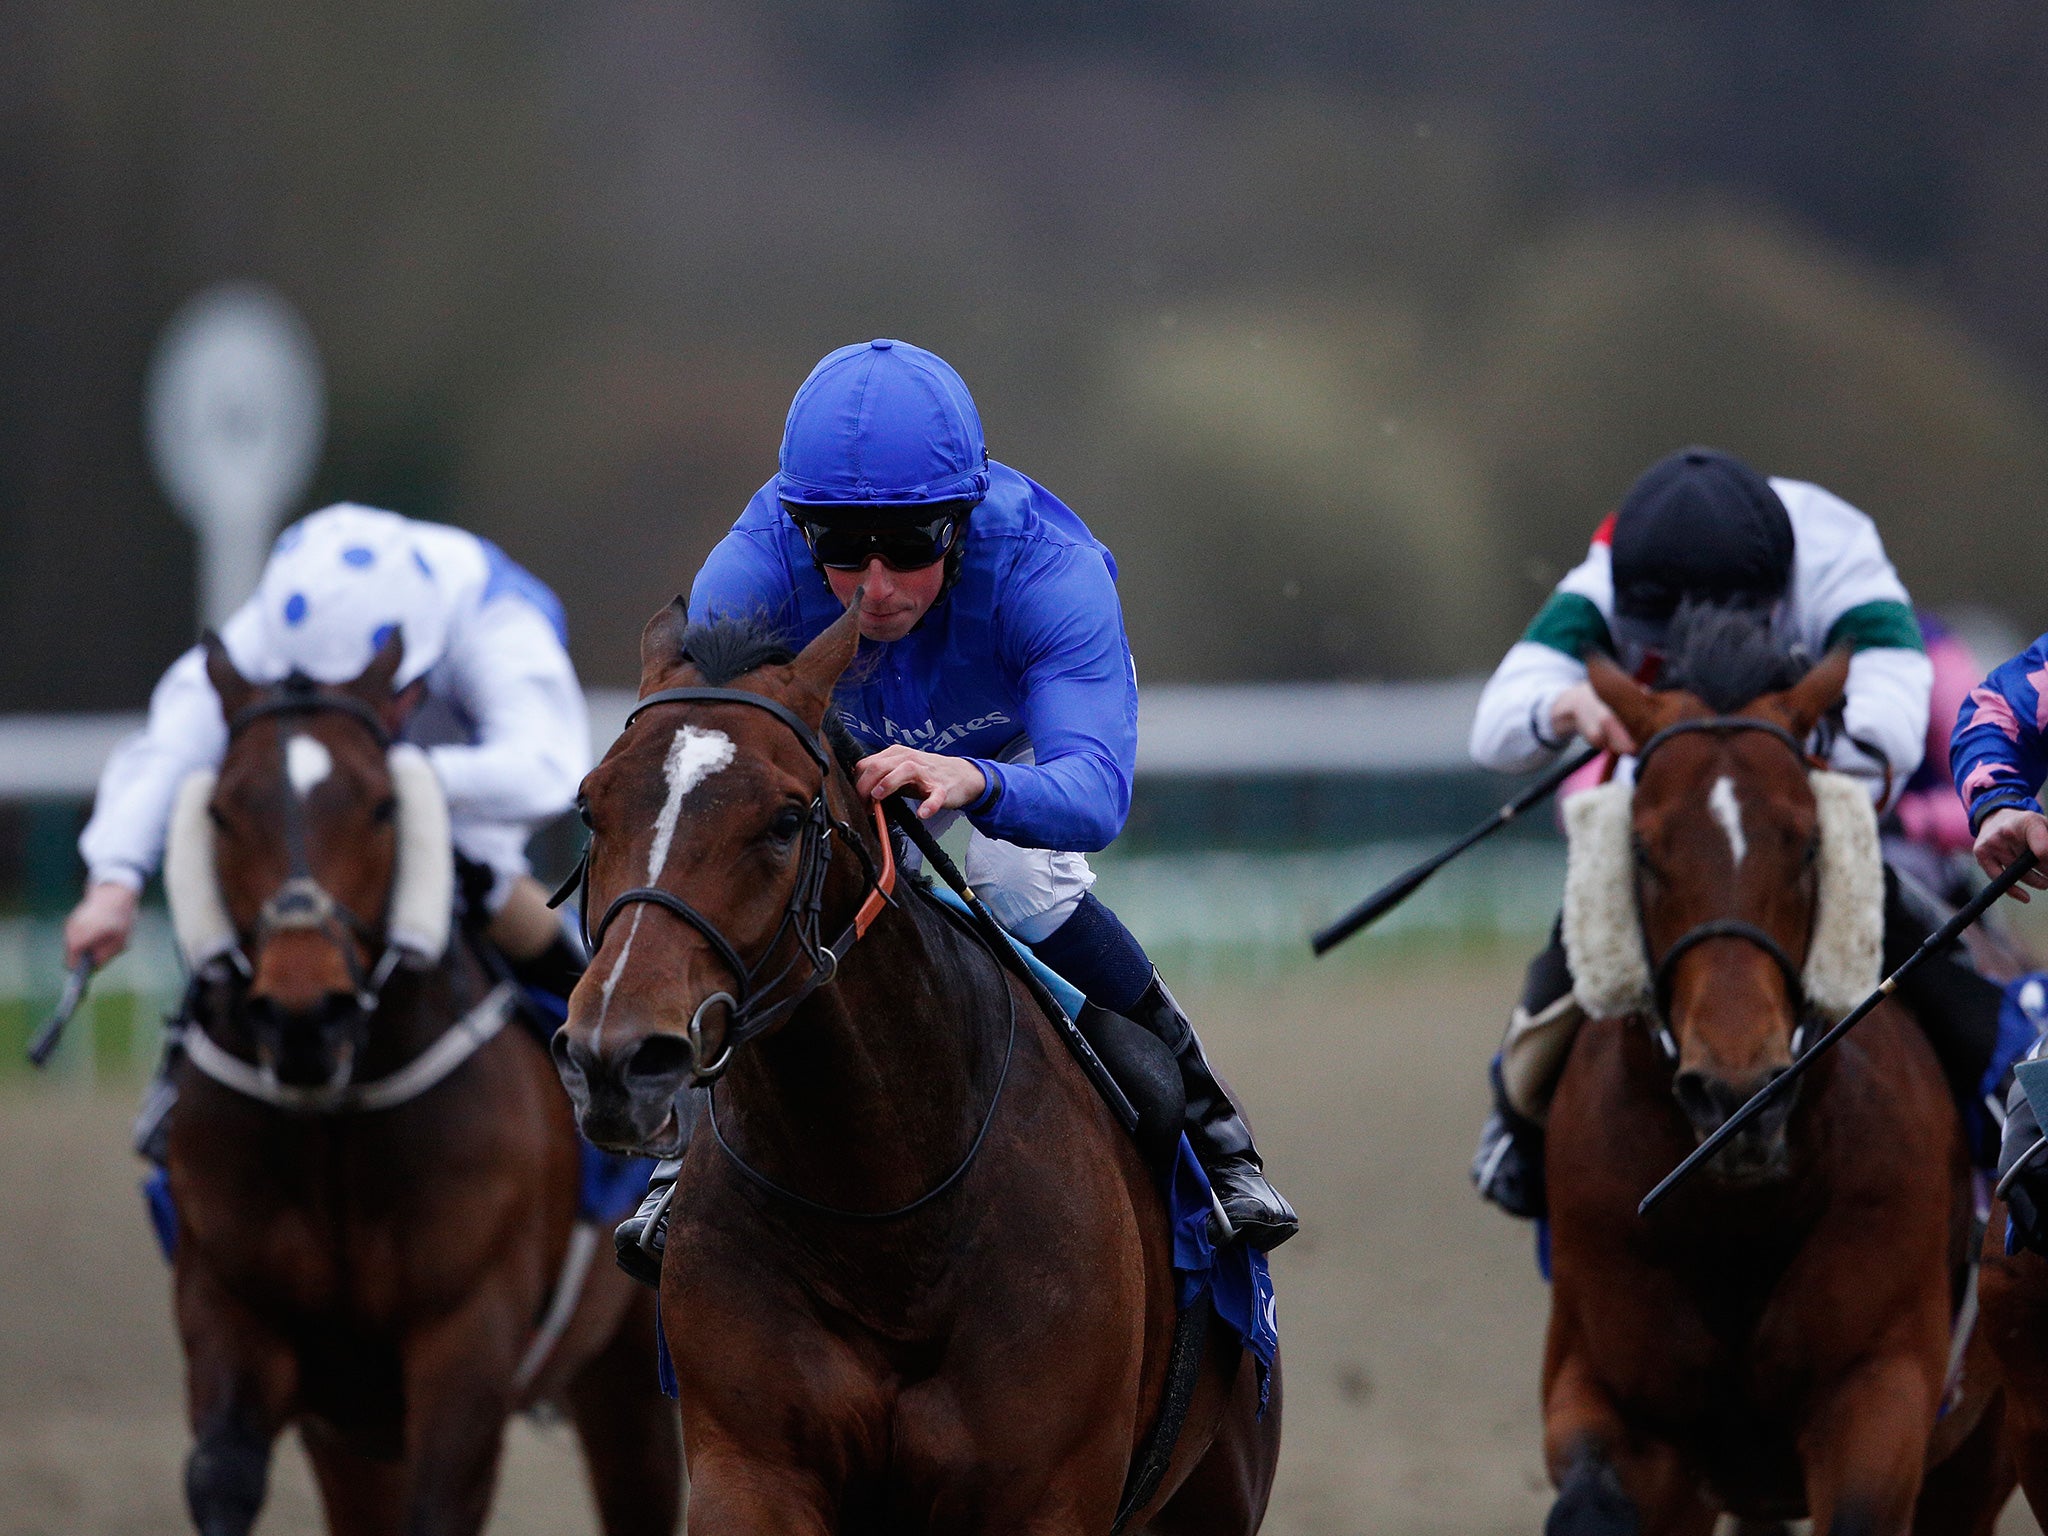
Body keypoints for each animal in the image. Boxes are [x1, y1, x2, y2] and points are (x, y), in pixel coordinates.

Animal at [165, 626, 679, 1536]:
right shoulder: (237, 1313)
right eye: (221, 810)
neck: (336, 1120)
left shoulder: (467, 1340)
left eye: (383, 806)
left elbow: (442, 1500)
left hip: (628, 1372)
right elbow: (222, 1474)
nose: (305, 1015)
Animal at [548, 602, 1277, 1536]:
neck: (883, 1218)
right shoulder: (750, 1464)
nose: (616, 1055)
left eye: (786, 820)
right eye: (591, 806)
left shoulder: (1040, 1492)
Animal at [1540, 630, 2007, 1531]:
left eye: (1807, 842)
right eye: (1643, 848)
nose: (1735, 1095)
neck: (1736, 1220)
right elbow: (1589, 1497)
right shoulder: (1609, 1387)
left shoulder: (1879, 1392)